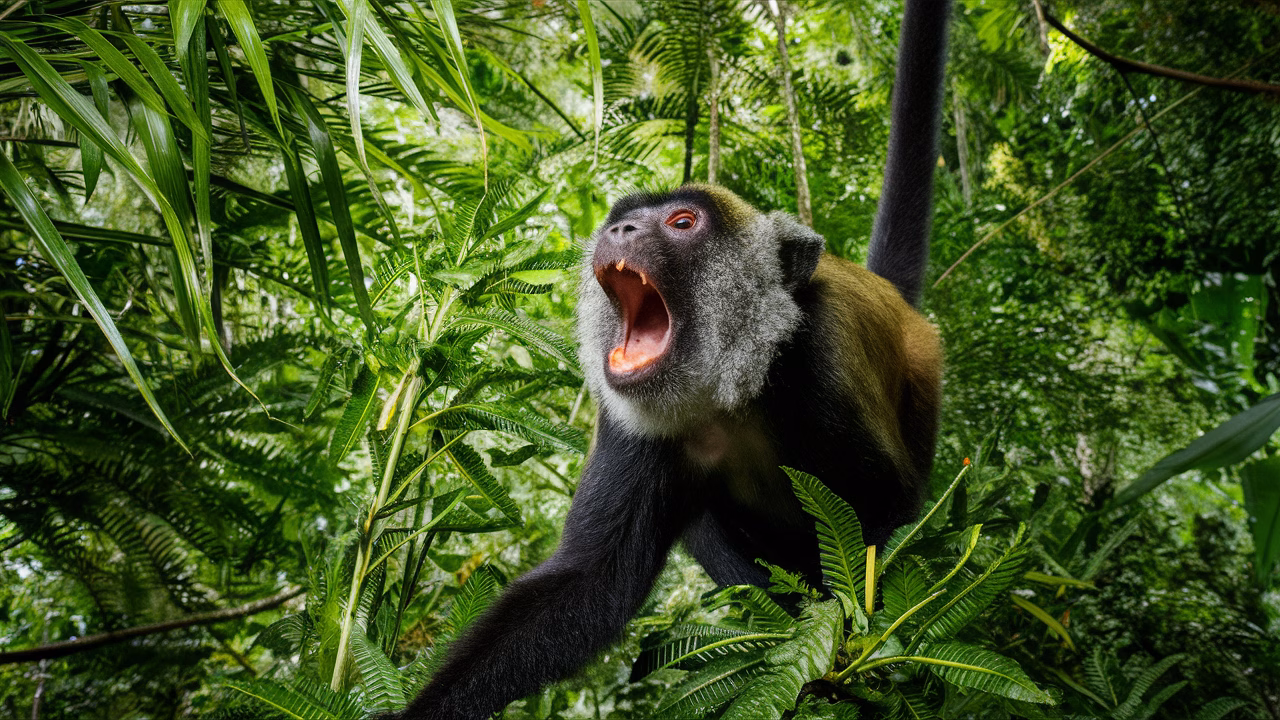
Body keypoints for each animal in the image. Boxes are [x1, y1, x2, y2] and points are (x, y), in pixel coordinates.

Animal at [389, 1, 950, 718]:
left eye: (682, 222)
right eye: (625, 220)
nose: (619, 229)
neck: (734, 386)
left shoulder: (815, 361)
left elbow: (891, 515)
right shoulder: (625, 419)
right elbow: (591, 583)